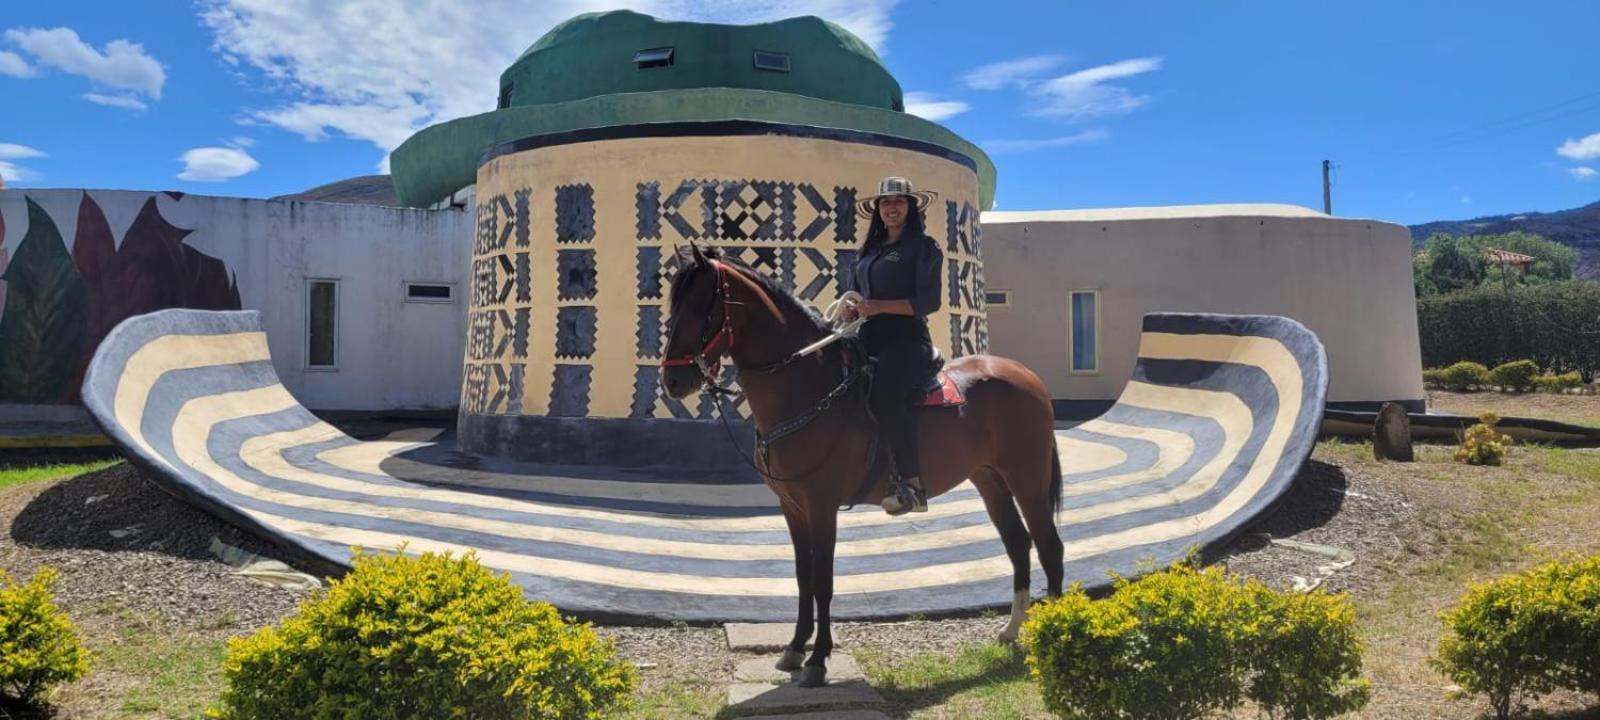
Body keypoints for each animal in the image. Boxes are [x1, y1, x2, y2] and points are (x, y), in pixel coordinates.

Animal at [662, 244, 1062, 688]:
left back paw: (1054, 635)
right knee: (1018, 544)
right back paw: (1011, 630)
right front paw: (793, 649)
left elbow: (823, 581)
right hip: (989, 479)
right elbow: (803, 577)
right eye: (673, 302)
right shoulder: (793, 507)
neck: (807, 387)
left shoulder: (821, 506)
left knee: (1050, 546)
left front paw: (818, 660)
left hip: (1027, 477)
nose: (673, 382)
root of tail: (1026, 375)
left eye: (701, 305)